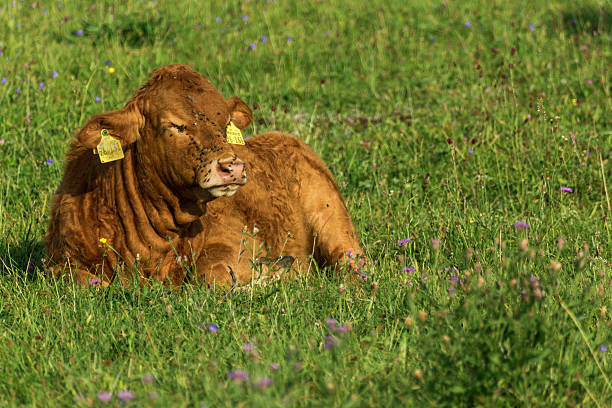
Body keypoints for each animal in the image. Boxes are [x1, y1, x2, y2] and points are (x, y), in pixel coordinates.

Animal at [47, 63, 364, 286]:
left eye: (225, 124)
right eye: (175, 125)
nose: (233, 167)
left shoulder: (235, 241)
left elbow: (211, 276)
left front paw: (276, 273)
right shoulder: (61, 262)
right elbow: (86, 281)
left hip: (336, 225)